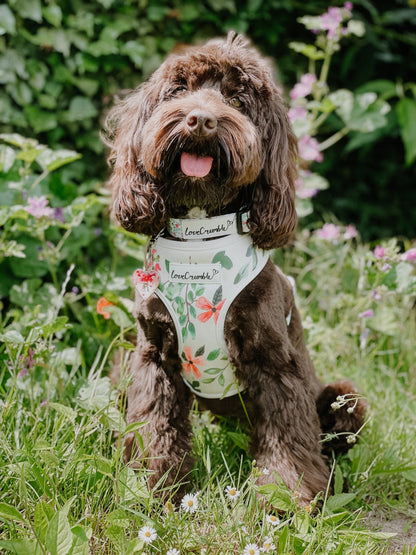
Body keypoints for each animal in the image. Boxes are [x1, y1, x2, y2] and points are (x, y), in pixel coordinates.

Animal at [104, 32, 364, 506]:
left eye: (238, 99)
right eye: (179, 89)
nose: (200, 120)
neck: (200, 238)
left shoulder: (274, 362)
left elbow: (287, 437)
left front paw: (285, 498)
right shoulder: (153, 356)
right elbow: (153, 427)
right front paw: (151, 489)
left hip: (344, 398)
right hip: (123, 365)